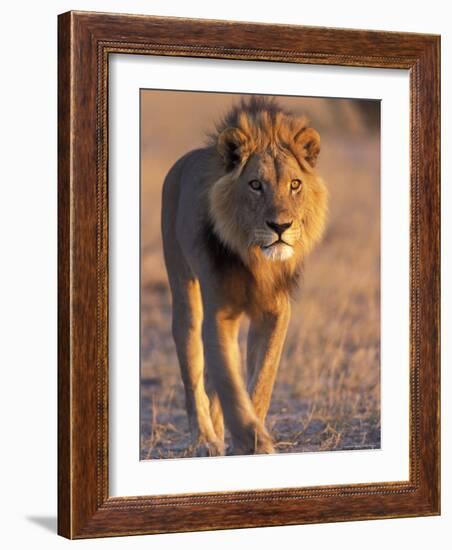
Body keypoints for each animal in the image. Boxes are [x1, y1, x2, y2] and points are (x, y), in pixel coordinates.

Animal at [161, 98, 326, 458]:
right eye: (255, 185)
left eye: (295, 184)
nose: (281, 227)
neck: (256, 260)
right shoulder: (219, 313)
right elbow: (228, 382)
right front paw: (254, 442)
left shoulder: (276, 312)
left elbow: (260, 379)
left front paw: (249, 440)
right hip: (184, 290)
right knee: (193, 369)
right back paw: (205, 439)